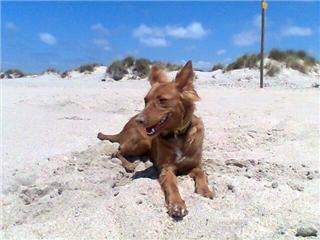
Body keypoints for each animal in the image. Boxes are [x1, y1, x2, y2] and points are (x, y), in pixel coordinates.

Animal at [96, 61, 214, 218]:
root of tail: (123, 128)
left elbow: (202, 173)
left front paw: (205, 190)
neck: (177, 134)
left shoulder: (194, 165)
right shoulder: (166, 168)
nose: (139, 120)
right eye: (145, 101)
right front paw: (177, 204)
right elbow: (172, 185)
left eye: (162, 100)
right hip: (142, 142)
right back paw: (130, 165)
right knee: (117, 151)